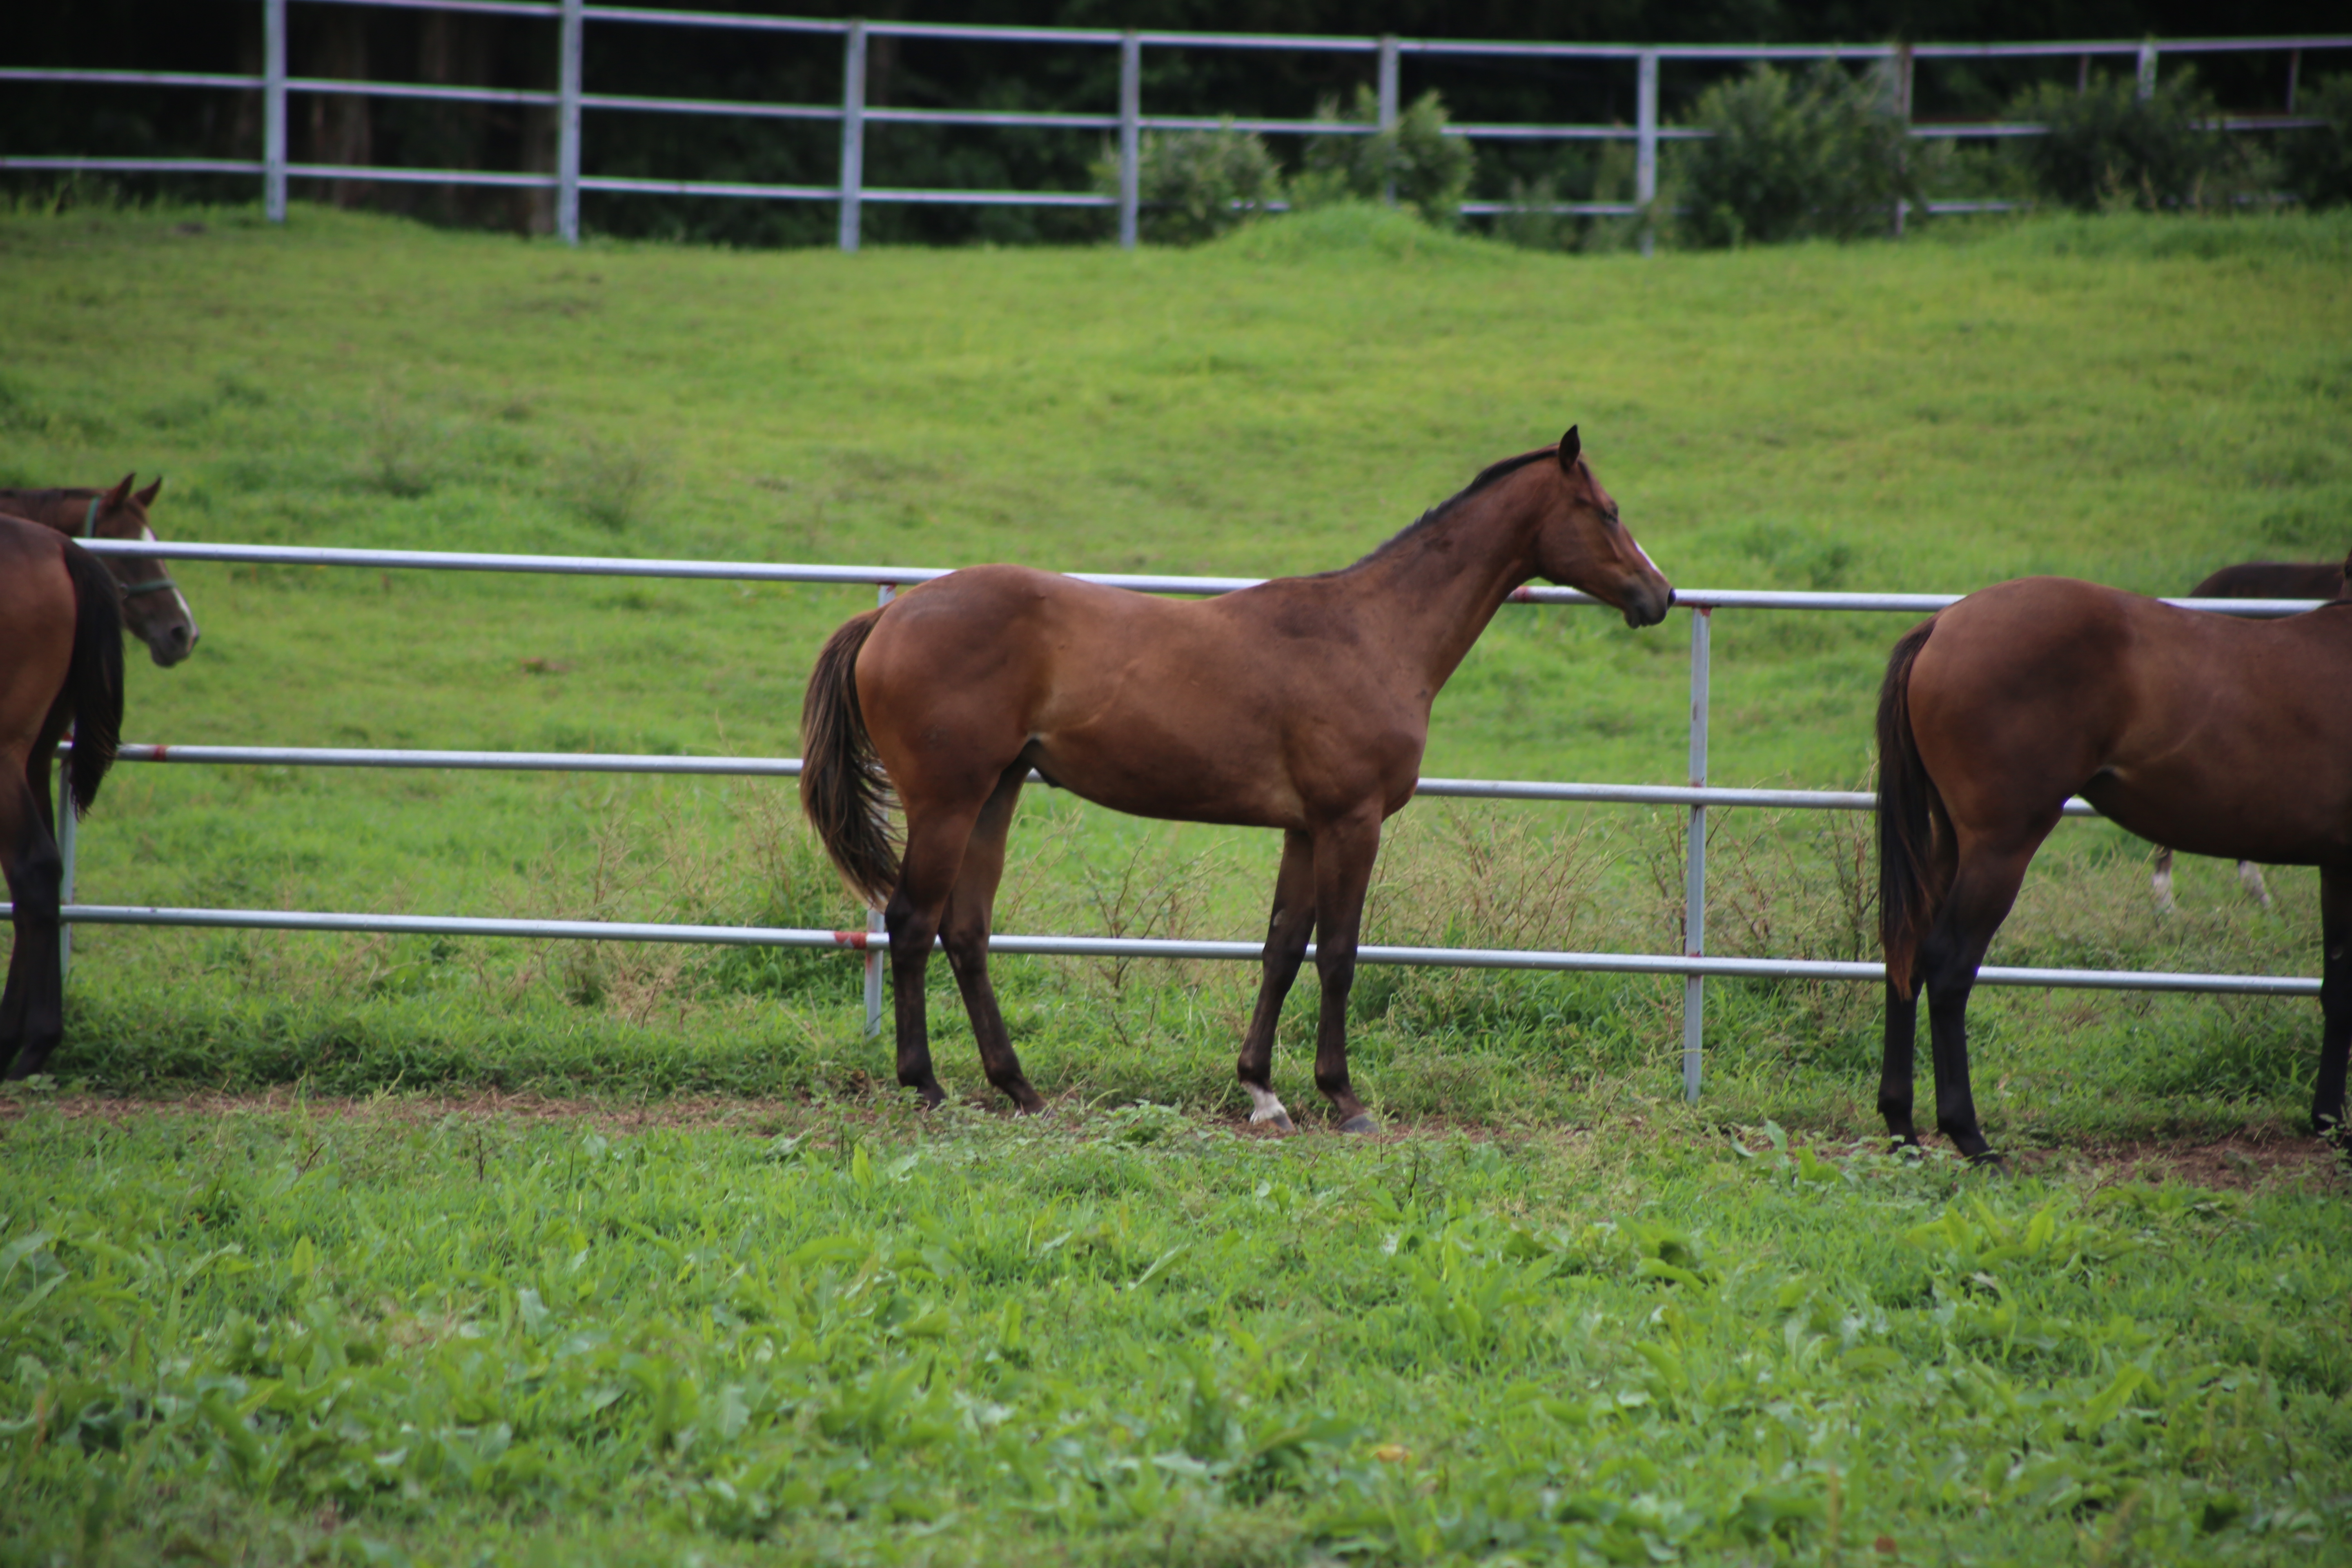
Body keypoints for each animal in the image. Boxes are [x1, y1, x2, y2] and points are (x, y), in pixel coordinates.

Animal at [809, 430, 1675, 1128]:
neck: (1373, 633)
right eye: (1606, 511)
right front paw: (1343, 1098)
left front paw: (1263, 1091)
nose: (1660, 595)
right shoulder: (1351, 822)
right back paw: (926, 1087)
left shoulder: (1305, 828)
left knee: (966, 932)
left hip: (997, 793)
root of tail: (889, 617)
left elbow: (1283, 947)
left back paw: (1020, 1089)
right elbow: (1339, 955)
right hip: (948, 802)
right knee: (912, 923)